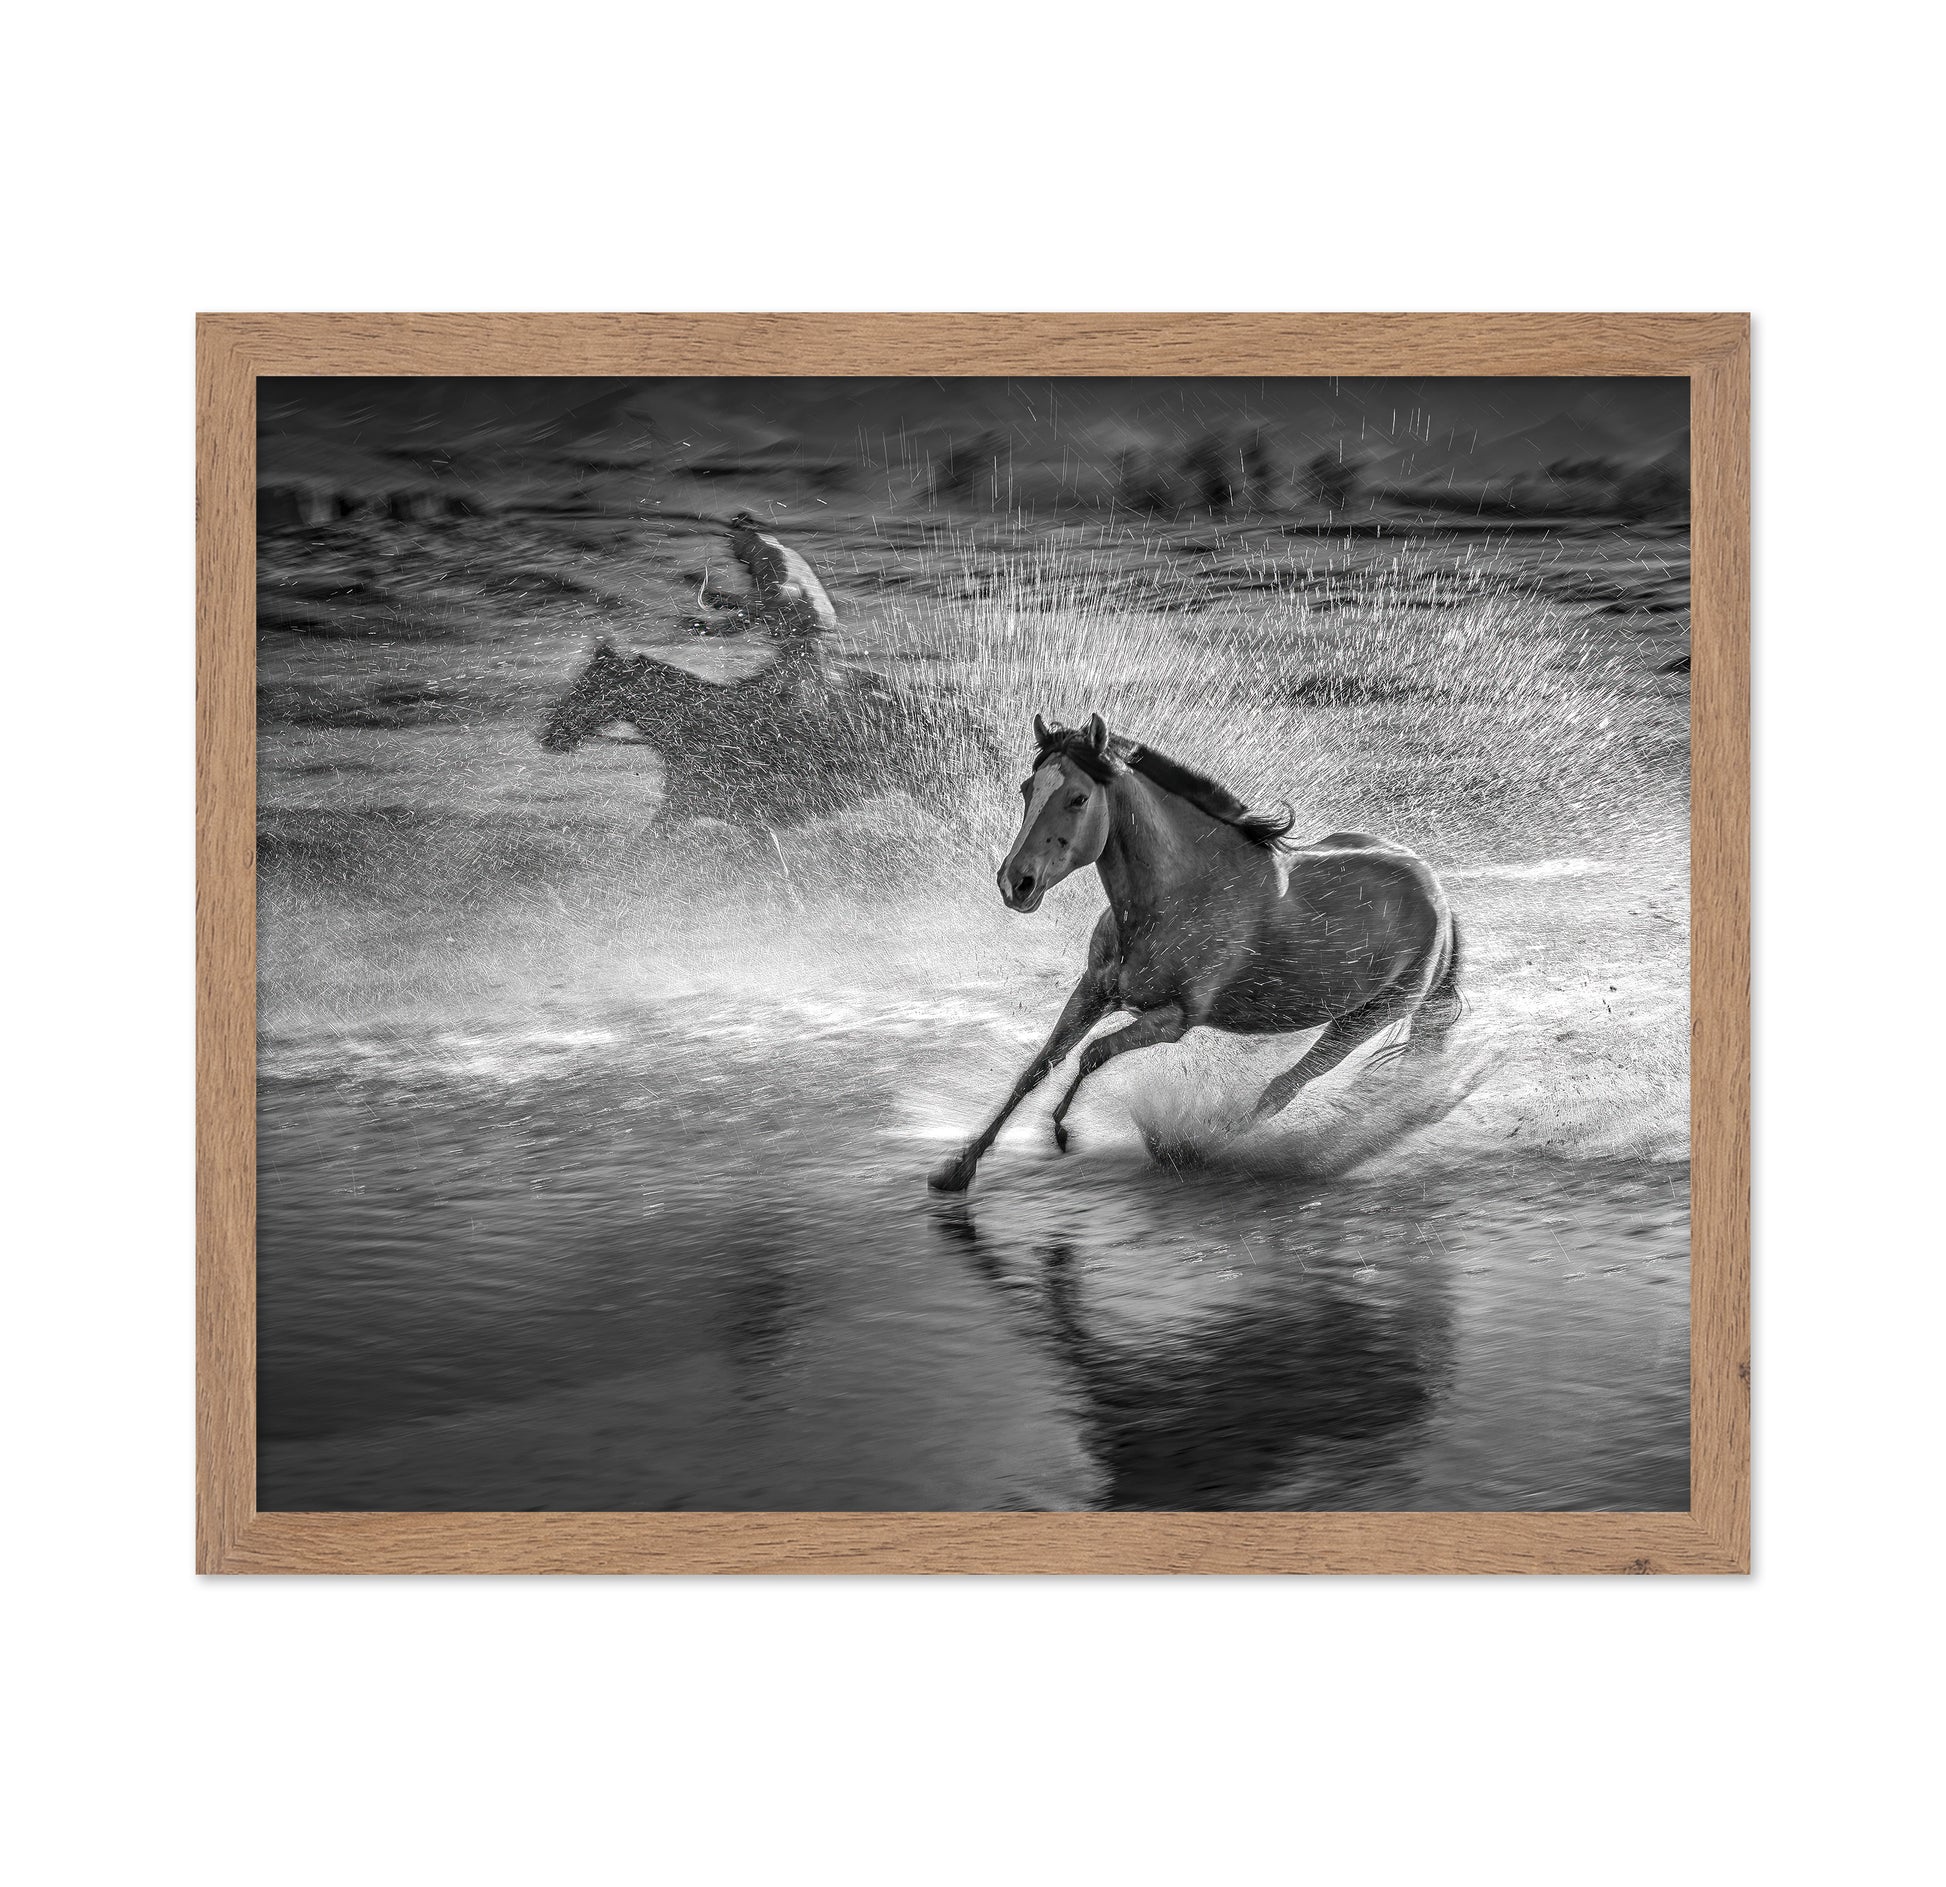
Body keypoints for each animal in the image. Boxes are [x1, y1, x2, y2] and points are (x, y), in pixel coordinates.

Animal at [928, 713, 1463, 1193]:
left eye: (1078, 797)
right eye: (1027, 790)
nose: (1015, 883)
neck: (1179, 895)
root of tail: (1436, 893)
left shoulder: (1175, 1019)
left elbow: (1092, 1055)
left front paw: (1060, 1131)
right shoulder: (1093, 991)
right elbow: (1038, 1067)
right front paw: (959, 1170)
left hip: (1363, 1020)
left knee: (1282, 1089)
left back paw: (1196, 1149)